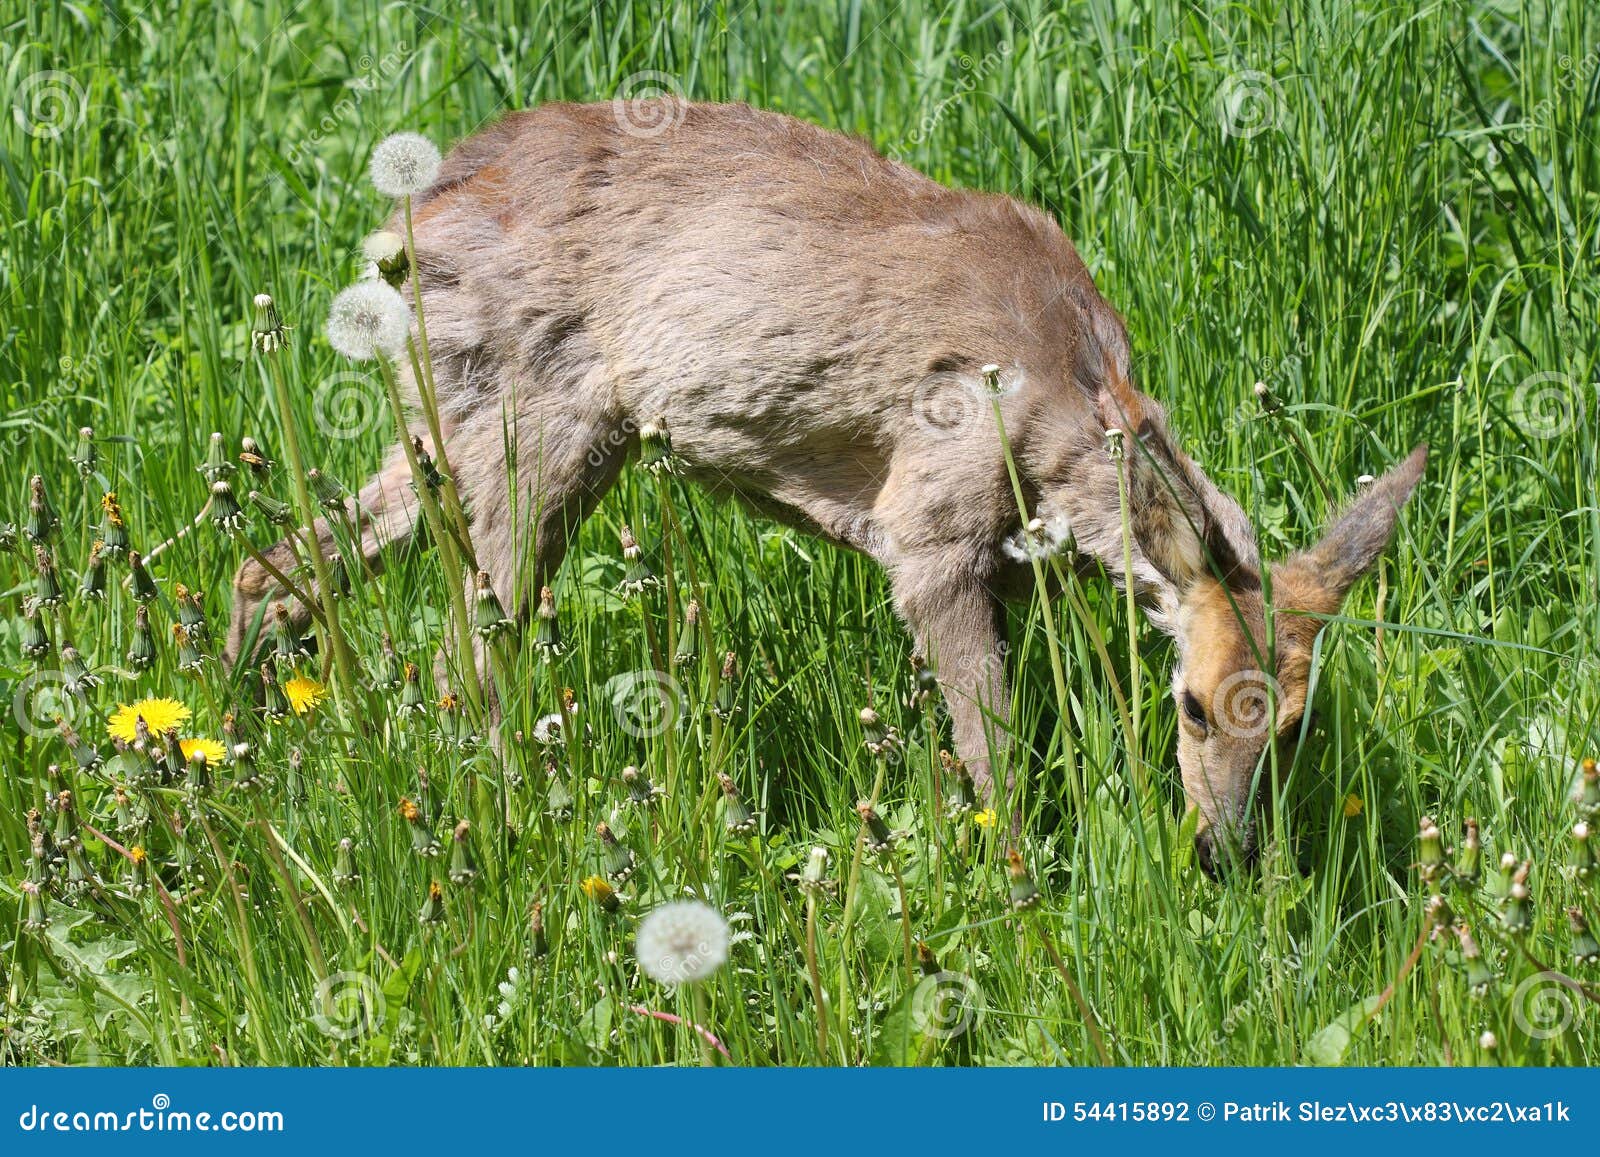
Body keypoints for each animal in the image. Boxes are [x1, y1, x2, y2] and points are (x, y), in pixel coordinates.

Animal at [222, 102, 1427, 876]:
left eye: (1295, 728)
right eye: (1188, 703)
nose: (1226, 852)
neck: (1066, 400)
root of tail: (408, 220)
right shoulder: (927, 529)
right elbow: (996, 756)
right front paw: (1025, 900)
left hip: (453, 418)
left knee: (277, 565)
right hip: (540, 426)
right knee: (462, 654)